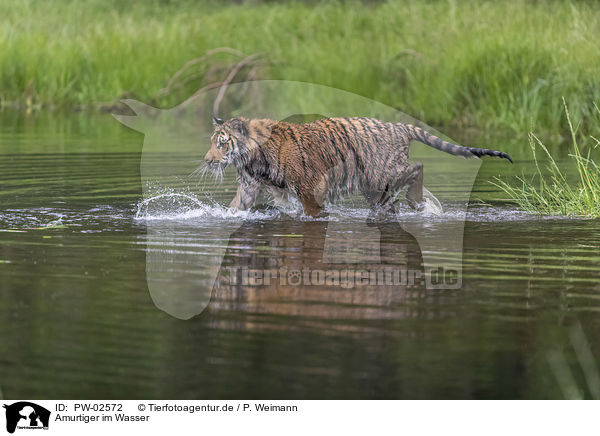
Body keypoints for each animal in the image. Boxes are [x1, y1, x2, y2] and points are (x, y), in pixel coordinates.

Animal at [204, 116, 512, 217]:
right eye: (212, 142)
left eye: (222, 143)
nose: (207, 160)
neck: (252, 158)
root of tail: (400, 125)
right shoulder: (248, 188)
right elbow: (236, 207)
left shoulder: (311, 186)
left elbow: (313, 211)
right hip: (375, 186)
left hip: (383, 172)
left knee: (418, 167)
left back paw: (417, 200)